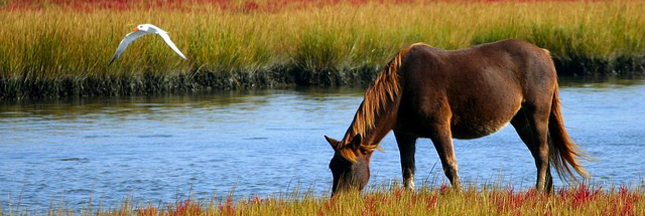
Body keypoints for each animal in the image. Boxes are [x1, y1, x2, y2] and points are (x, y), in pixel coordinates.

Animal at [328, 38, 588, 196]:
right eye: (332, 166)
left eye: (348, 167)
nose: (338, 199)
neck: (403, 87)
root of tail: (544, 54)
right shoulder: (404, 134)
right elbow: (407, 170)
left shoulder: (439, 128)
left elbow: (450, 166)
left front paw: (459, 195)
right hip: (520, 119)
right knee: (538, 153)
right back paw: (547, 192)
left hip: (537, 112)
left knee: (543, 153)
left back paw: (538, 191)